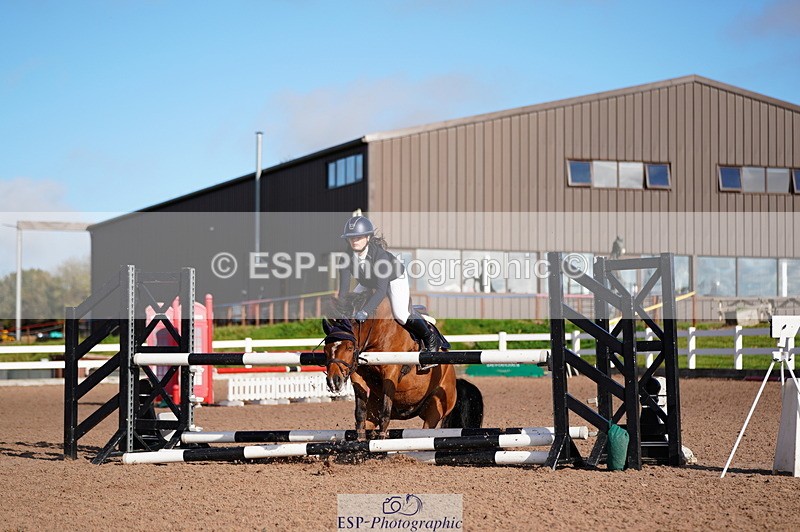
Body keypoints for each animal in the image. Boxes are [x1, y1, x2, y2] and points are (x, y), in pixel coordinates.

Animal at [323, 293, 483, 439]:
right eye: (325, 348)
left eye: (349, 347)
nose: (334, 381)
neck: (376, 333)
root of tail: (454, 380)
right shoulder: (358, 373)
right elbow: (360, 413)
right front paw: (360, 441)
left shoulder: (391, 372)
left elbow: (385, 413)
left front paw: (380, 442)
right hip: (375, 406)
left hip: (434, 408)